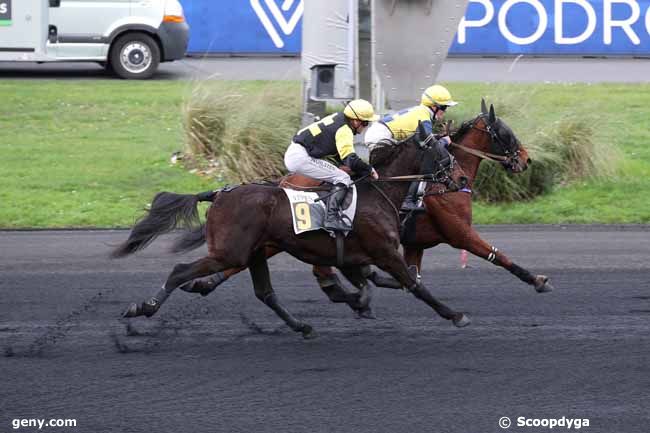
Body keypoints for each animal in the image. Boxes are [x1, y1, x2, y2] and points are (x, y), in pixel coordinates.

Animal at [114, 135, 468, 338]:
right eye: (445, 154)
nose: (463, 179)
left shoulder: (353, 257)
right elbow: (414, 285)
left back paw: (301, 326)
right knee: (179, 271)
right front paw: (455, 315)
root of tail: (219, 194)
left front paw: (359, 302)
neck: (379, 193)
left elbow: (373, 283)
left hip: (254, 253)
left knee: (265, 293)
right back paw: (143, 307)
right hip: (230, 252)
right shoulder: (385, 252)